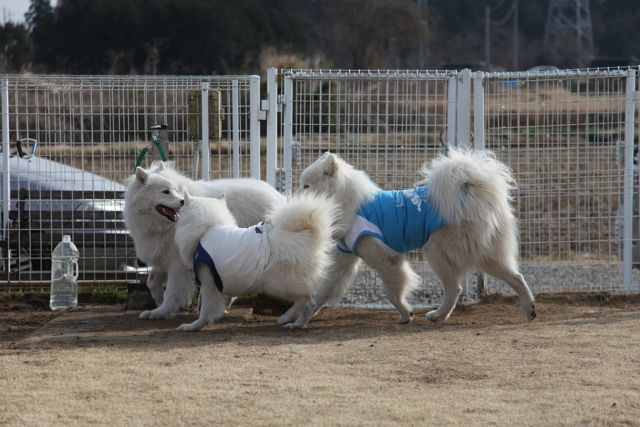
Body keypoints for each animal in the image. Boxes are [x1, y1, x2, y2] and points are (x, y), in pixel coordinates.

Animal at [124, 162, 284, 320]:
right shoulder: (163, 256)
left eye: (176, 190)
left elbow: (172, 291)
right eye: (165, 192)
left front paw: (161, 311)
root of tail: (278, 197)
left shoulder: (178, 264)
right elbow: (151, 282)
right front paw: (158, 302)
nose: (182, 201)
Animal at [172, 192, 338, 332]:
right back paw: (293, 322)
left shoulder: (209, 283)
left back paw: (292, 321)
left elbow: (205, 310)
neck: (208, 229)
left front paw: (194, 326)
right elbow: (221, 301)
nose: (180, 202)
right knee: (307, 302)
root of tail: (309, 238)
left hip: (278, 284)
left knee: (308, 301)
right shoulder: (223, 280)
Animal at [284, 149, 536, 326]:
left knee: (455, 289)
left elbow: (393, 293)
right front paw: (296, 319)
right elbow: (320, 293)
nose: (293, 199)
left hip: (437, 251)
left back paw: (438, 315)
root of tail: (471, 189)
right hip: (485, 254)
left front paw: (406, 314)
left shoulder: (386, 260)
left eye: (306, 186)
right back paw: (529, 309)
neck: (349, 204)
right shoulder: (343, 260)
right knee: (516, 277)